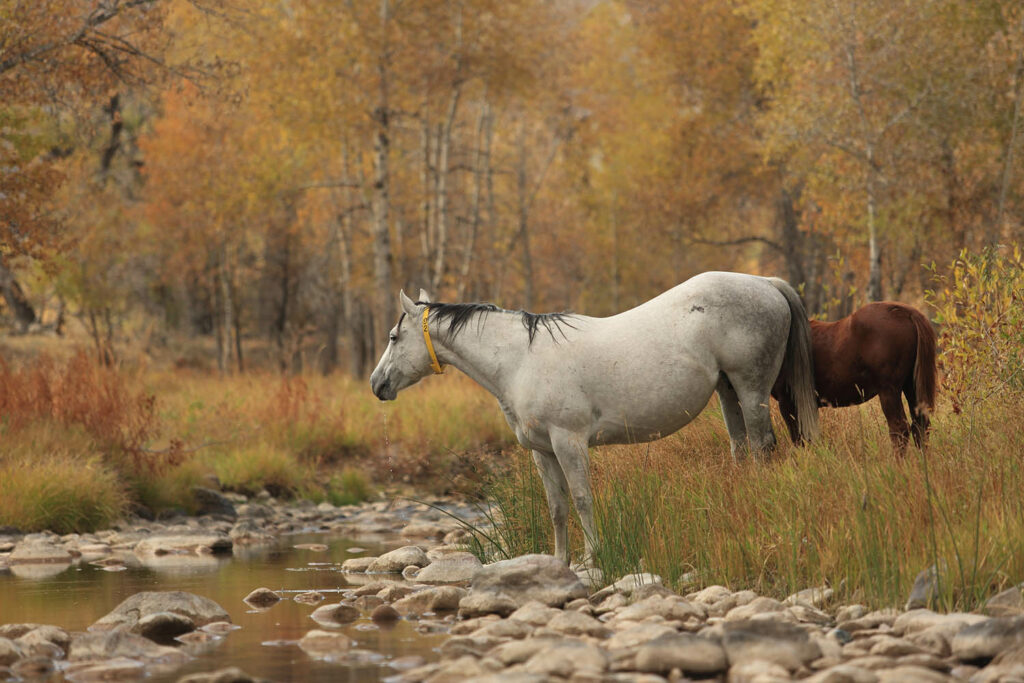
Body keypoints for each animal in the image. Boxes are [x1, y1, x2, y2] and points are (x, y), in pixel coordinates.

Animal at [372, 272, 819, 565]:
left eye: (394, 337)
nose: (378, 384)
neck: (521, 359)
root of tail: (765, 283)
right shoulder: (543, 452)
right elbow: (557, 507)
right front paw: (560, 563)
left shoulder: (568, 442)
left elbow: (582, 498)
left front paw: (593, 558)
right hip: (728, 392)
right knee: (741, 450)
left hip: (751, 389)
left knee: (762, 449)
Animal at [774, 303, 937, 454]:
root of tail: (906, 312)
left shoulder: (787, 401)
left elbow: (798, 439)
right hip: (911, 386)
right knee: (921, 426)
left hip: (889, 390)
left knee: (900, 429)